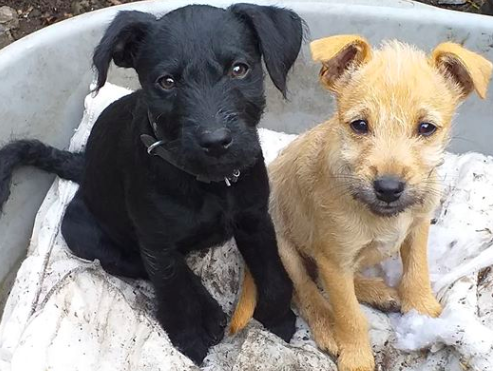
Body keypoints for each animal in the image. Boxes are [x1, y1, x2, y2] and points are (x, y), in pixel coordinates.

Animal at [0, 2, 304, 366]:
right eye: (167, 82)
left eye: (239, 69)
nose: (216, 142)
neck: (208, 184)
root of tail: (82, 163)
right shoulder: (157, 244)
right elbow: (173, 291)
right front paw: (189, 340)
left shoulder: (255, 218)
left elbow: (272, 272)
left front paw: (279, 320)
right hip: (78, 231)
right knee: (146, 268)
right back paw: (207, 309)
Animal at [231, 35, 492, 371]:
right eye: (359, 125)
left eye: (426, 128)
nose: (389, 188)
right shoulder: (334, 260)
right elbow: (349, 314)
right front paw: (356, 356)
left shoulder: (418, 226)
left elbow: (416, 271)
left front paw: (425, 310)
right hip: (282, 248)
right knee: (305, 288)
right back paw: (328, 326)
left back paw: (377, 291)